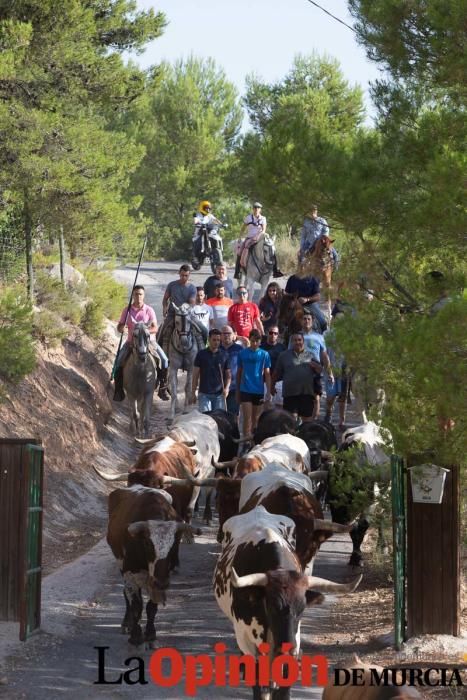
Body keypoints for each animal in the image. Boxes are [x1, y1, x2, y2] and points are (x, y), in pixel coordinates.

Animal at [107, 484, 200, 648]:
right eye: (148, 544)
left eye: (174, 544)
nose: (161, 582)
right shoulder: (130, 573)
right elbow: (136, 605)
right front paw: (136, 636)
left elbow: (151, 607)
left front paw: (150, 634)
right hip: (121, 565)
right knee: (126, 594)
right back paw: (126, 623)